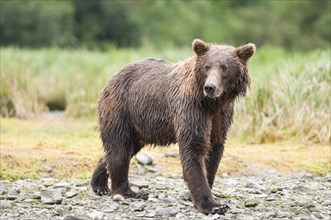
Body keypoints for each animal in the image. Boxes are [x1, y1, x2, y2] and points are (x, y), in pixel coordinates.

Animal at [91, 39, 256, 215]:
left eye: (224, 67)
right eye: (207, 66)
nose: (210, 87)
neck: (212, 104)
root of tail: (111, 78)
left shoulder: (221, 116)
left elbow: (214, 149)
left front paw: (209, 195)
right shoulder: (192, 108)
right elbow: (194, 146)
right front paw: (212, 205)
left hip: (139, 125)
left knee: (123, 149)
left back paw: (99, 184)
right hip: (121, 109)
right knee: (120, 148)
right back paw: (127, 192)